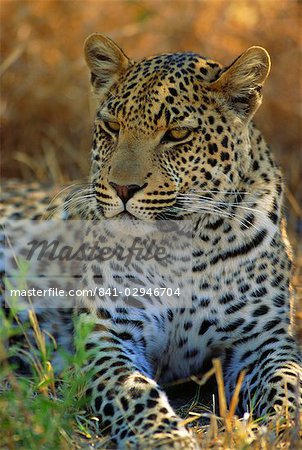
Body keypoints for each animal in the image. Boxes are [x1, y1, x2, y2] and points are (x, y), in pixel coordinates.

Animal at [1, 36, 300, 450]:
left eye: (176, 134)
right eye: (112, 127)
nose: (122, 188)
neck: (184, 246)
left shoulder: (265, 339)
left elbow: (288, 383)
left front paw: (283, 427)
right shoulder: (109, 333)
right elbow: (135, 393)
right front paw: (166, 438)